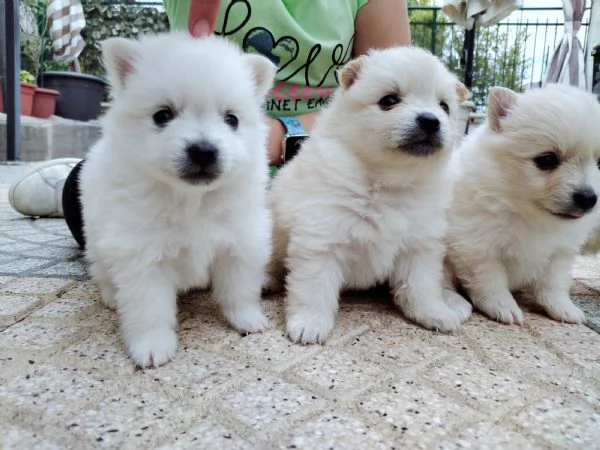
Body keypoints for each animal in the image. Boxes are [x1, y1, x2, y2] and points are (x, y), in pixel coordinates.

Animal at [80, 32, 276, 367]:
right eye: (163, 116)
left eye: (232, 120)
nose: (204, 150)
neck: (192, 200)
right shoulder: (142, 254)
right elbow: (149, 308)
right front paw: (151, 346)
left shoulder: (239, 240)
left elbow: (239, 288)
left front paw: (247, 319)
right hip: (96, 236)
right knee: (102, 270)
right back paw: (110, 296)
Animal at [265, 46, 472, 344]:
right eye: (389, 100)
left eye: (444, 107)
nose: (431, 121)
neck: (389, 182)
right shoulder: (322, 237)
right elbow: (314, 288)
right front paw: (309, 323)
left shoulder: (419, 244)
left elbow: (421, 285)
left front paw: (433, 312)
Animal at [445, 84, 600, 325]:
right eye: (547, 160)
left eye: (599, 162)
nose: (588, 198)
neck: (528, 213)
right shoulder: (476, 246)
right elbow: (490, 279)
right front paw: (503, 306)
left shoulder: (560, 252)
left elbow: (554, 283)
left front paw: (563, 308)